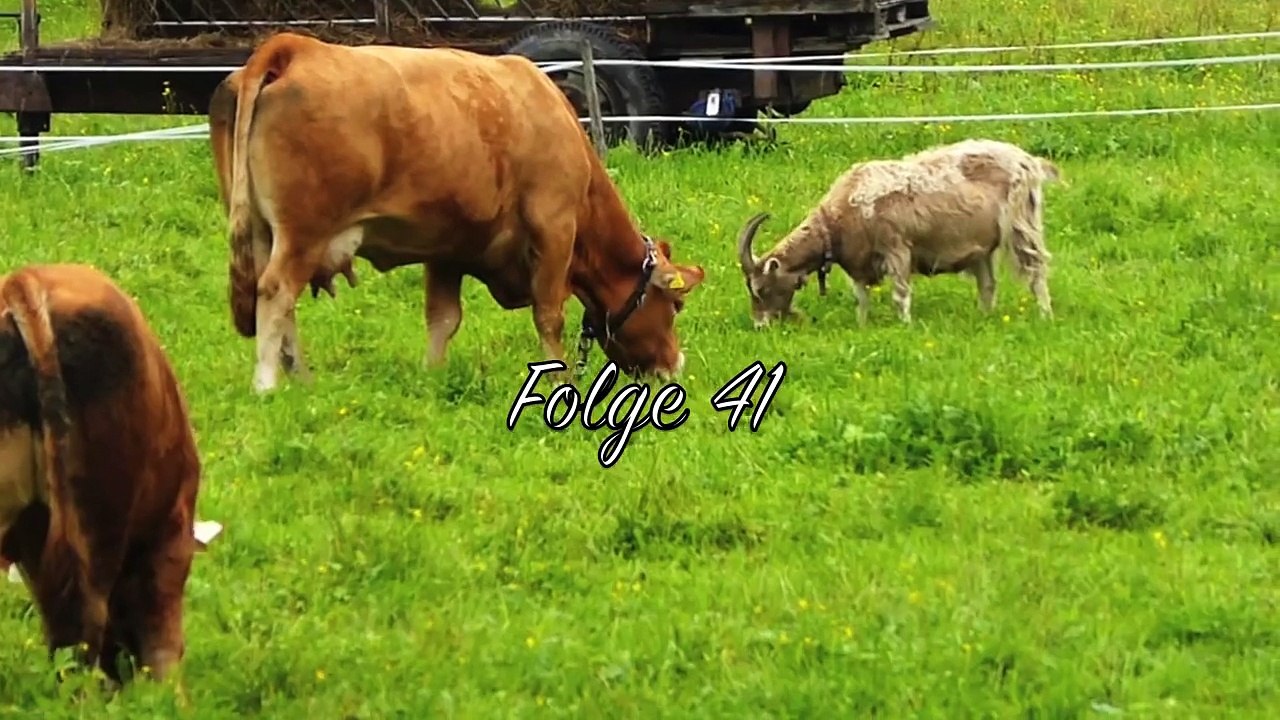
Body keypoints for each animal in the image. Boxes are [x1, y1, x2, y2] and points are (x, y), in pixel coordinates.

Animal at [735, 138, 1061, 327]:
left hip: (1022, 225)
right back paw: (985, 317)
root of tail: (1029, 161)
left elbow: (900, 294)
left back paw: (1045, 315)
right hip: (981, 246)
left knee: (1036, 270)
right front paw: (863, 326)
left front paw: (905, 325)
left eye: (761, 289)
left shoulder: (897, 248)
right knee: (988, 284)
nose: (761, 325)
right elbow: (861, 297)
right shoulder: (859, 263)